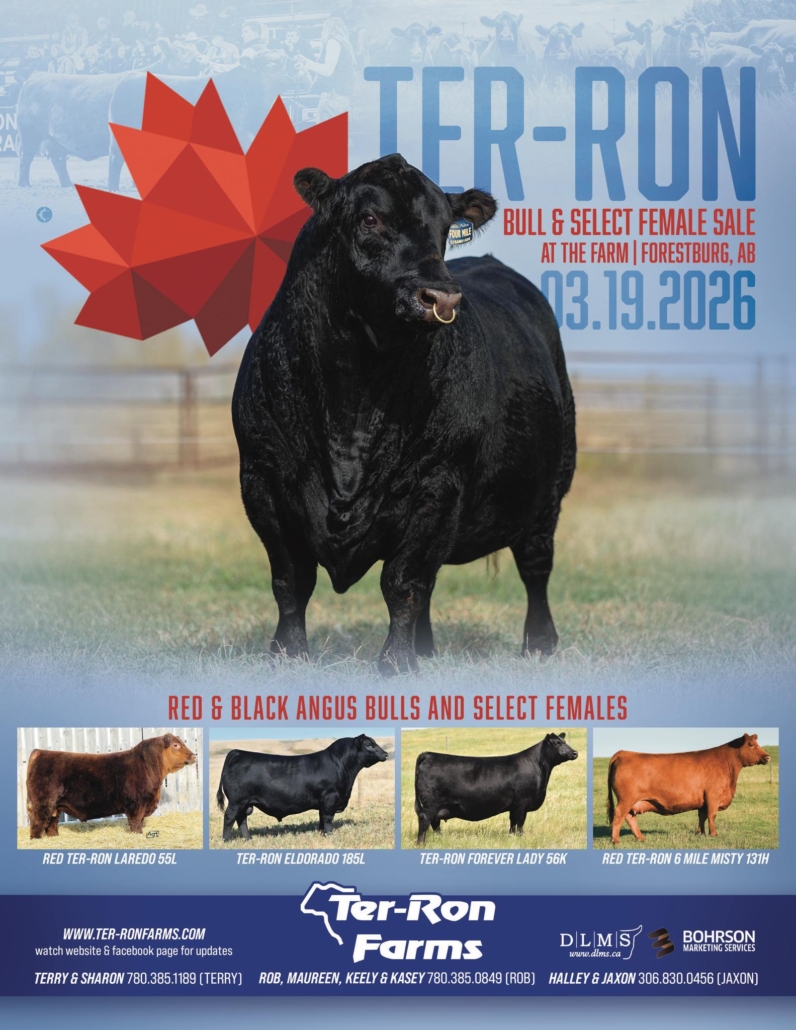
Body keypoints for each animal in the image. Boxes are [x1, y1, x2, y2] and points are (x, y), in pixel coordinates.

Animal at [26, 734, 196, 838]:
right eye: (176, 745)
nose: (194, 755)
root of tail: (39, 752)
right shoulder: (136, 805)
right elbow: (136, 823)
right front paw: (137, 834)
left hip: (55, 806)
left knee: (51, 823)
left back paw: (54, 837)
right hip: (42, 803)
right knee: (37, 823)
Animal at [215, 735, 389, 839]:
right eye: (368, 744)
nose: (386, 754)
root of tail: (238, 752)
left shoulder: (324, 801)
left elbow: (321, 818)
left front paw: (322, 833)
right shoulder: (330, 797)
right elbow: (328, 817)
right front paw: (329, 834)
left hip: (245, 802)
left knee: (242, 819)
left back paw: (248, 839)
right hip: (237, 800)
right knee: (229, 817)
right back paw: (227, 840)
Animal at [232, 153, 576, 675]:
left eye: (444, 227)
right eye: (370, 219)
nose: (442, 298)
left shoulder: (438, 482)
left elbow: (404, 582)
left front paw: (395, 665)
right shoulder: (263, 478)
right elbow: (290, 580)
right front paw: (287, 655)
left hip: (551, 486)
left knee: (535, 565)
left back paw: (539, 644)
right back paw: (427, 649)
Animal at [414, 732, 578, 844]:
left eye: (564, 741)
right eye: (556, 743)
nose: (575, 752)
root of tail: (428, 754)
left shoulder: (513, 806)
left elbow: (512, 823)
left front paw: (511, 838)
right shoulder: (522, 803)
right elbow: (520, 822)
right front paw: (521, 838)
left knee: (435, 823)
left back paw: (439, 839)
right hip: (431, 804)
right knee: (425, 820)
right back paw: (421, 843)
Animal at [607, 733, 770, 844]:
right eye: (750, 744)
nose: (768, 757)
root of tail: (624, 752)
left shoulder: (703, 800)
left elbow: (702, 816)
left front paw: (700, 833)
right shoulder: (713, 796)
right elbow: (712, 815)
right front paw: (714, 834)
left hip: (631, 801)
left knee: (629, 817)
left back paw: (641, 838)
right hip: (626, 799)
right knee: (619, 815)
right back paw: (615, 840)